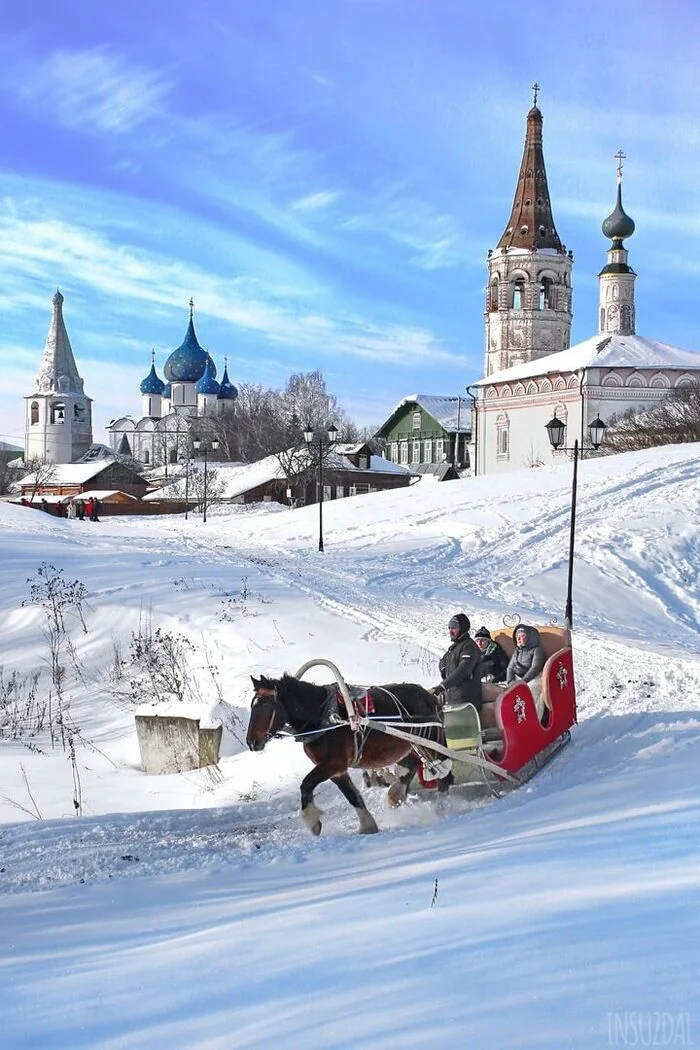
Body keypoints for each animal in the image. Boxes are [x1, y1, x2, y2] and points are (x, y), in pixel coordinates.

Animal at [246, 676, 455, 839]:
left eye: (266, 705)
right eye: (252, 705)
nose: (251, 742)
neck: (324, 718)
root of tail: (430, 696)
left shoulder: (333, 764)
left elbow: (306, 784)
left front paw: (312, 821)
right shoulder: (337, 771)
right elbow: (353, 796)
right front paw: (367, 826)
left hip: (430, 740)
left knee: (443, 773)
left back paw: (443, 806)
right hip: (411, 745)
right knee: (411, 766)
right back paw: (396, 797)